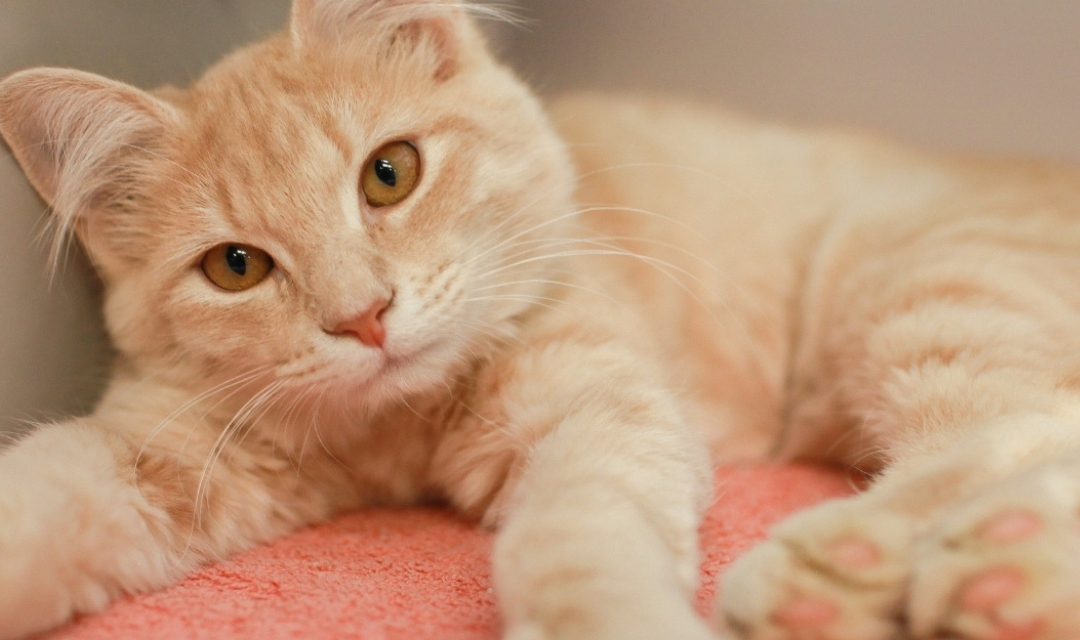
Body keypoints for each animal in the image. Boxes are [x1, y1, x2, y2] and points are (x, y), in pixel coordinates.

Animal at [2, 1, 1080, 638]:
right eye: (236, 267)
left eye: (388, 173)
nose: (365, 318)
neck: (404, 430)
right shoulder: (164, 450)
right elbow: (40, 494)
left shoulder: (597, 404)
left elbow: (570, 536)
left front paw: (612, 618)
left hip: (922, 291)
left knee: (1024, 428)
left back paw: (872, 571)